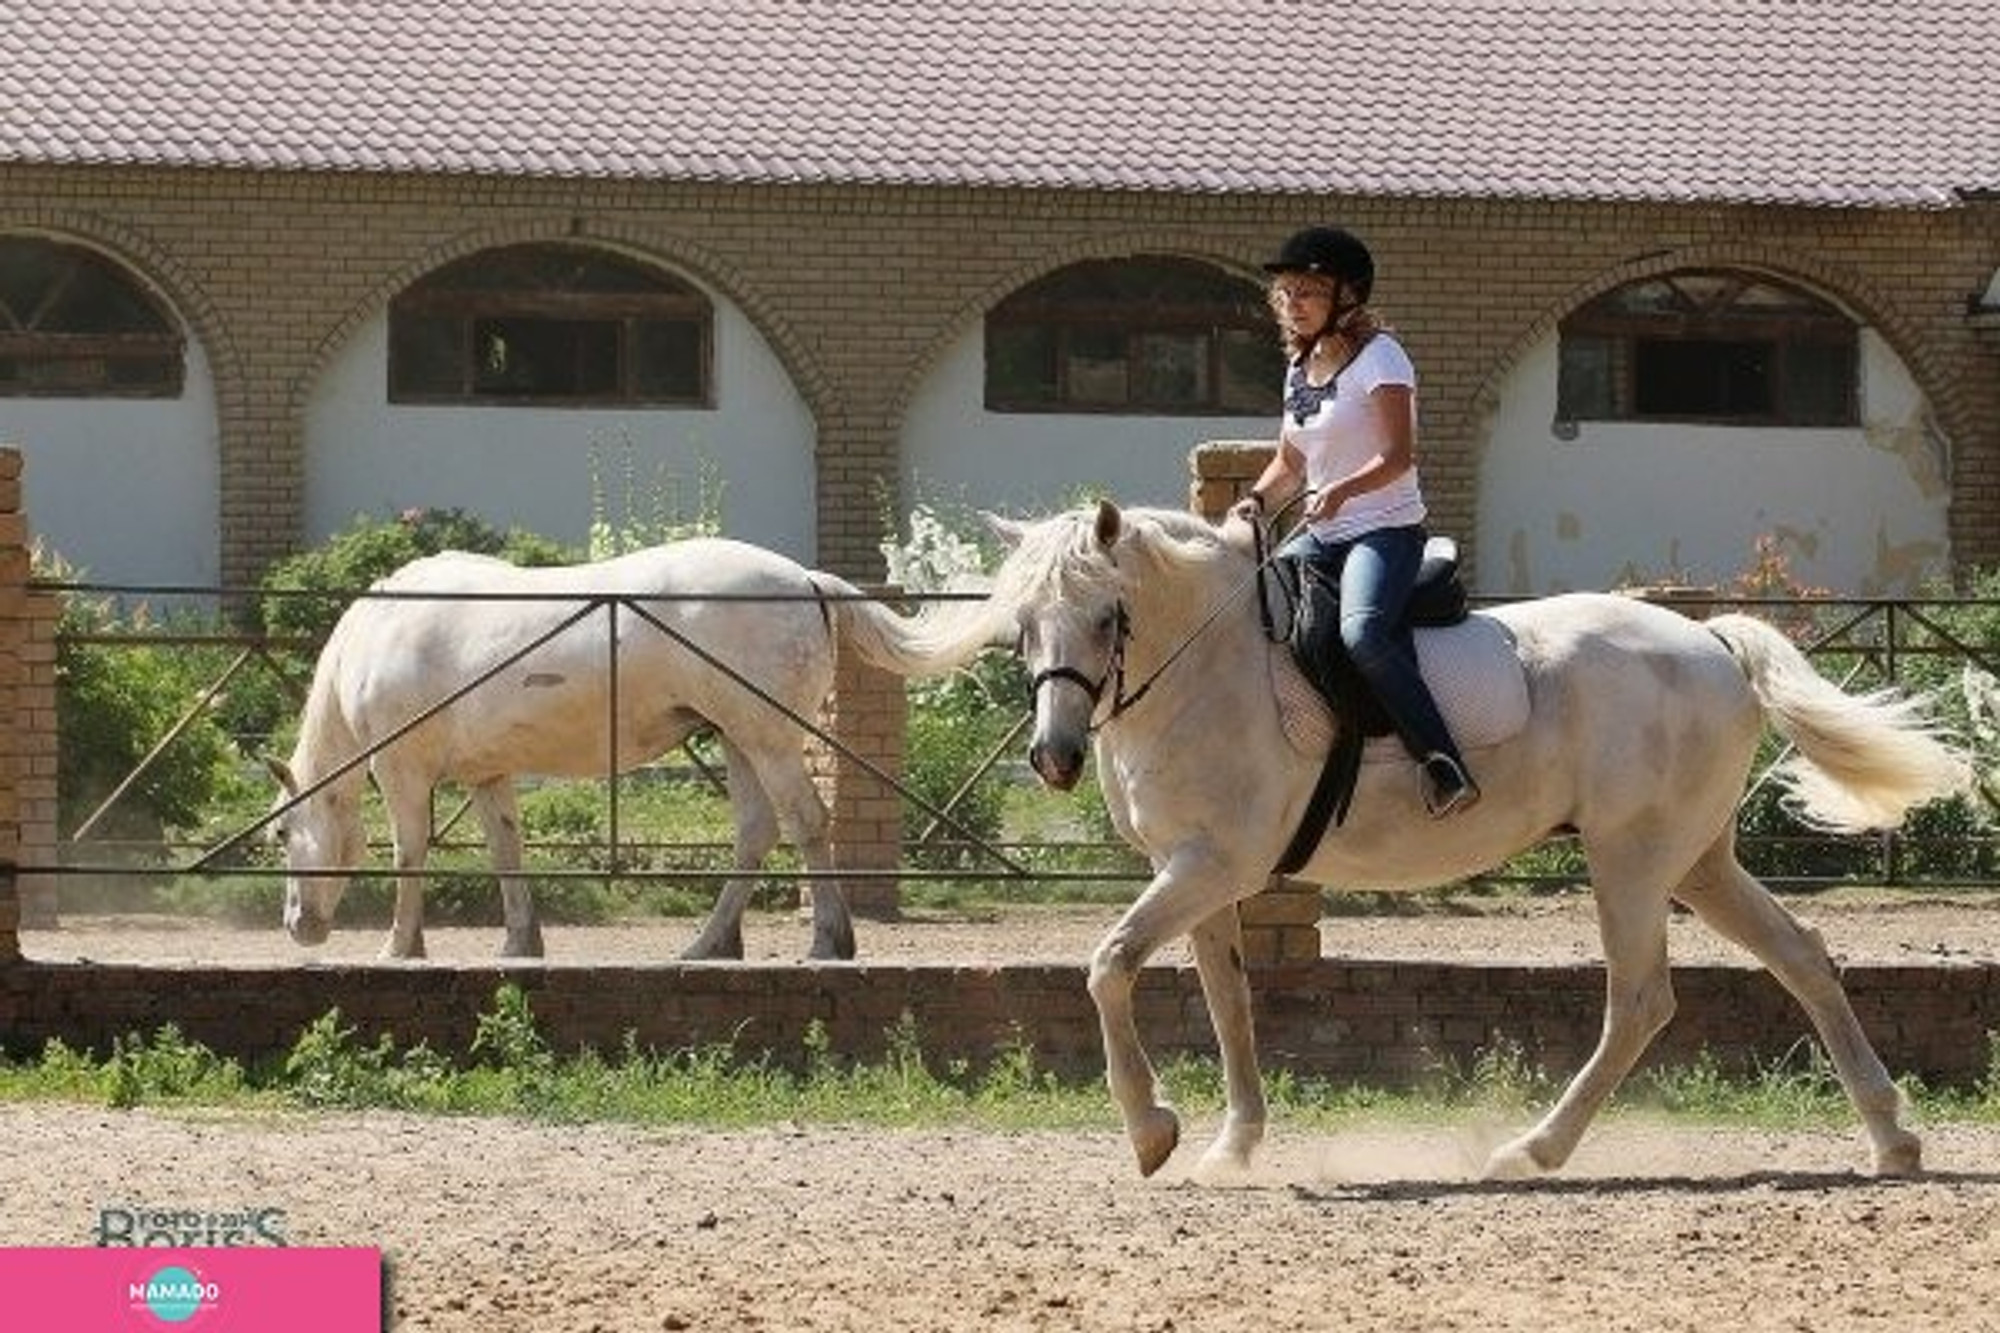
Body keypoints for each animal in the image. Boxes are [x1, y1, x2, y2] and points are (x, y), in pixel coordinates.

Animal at [268, 536, 968, 960]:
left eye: (280, 835)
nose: (299, 926)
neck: (380, 633)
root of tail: (805, 581)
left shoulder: (402, 770)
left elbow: (410, 852)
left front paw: (400, 946)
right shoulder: (487, 775)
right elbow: (506, 851)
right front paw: (520, 942)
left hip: (766, 739)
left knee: (805, 823)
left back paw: (828, 940)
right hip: (739, 740)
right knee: (756, 832)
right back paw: (707, 945)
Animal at [956, 498, 1968, 1176]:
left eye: (1106, 617)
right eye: (1021, 624)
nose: (1052, 757)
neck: (1208, 664)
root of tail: (1711, 642)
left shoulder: (1212, 864)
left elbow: (1110, 963)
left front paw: (1151, 1130)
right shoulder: (1200, 870)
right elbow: (1227, 1001)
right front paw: (1232, 1146)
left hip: (1632, 860)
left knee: (1640, 1000)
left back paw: (1532, 1150)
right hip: (1698, 860)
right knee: (1802, 956)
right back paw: (1893, 1137)